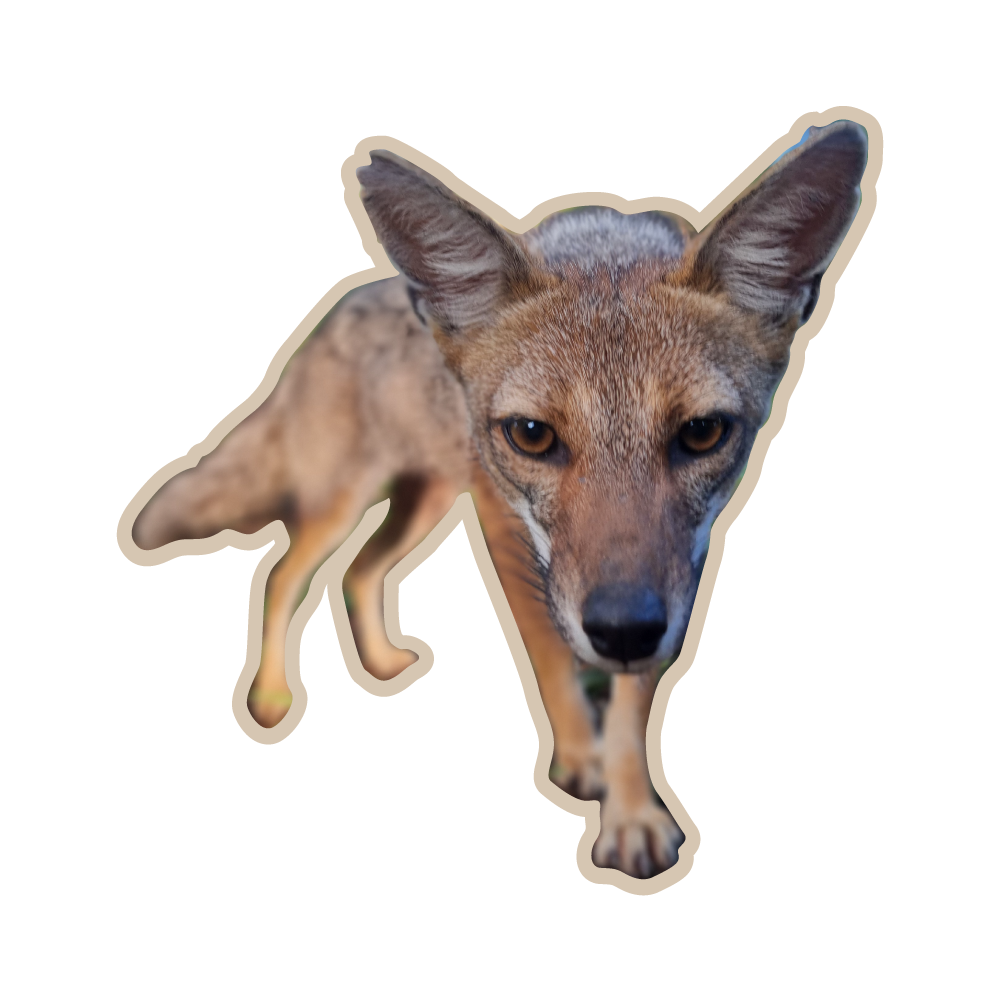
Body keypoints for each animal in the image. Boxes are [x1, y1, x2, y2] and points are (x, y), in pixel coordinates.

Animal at [127, 120, 870, 880]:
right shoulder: (507, 536)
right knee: (282, 573)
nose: (623, 631)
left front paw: (631, 813)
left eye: (701, 433)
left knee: (360, 572)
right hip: (350, 502)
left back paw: (383, 665)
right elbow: (549, 656)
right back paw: (273, 698)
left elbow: (632, 713)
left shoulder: (675, 576)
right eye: (533, 436)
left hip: (424, 505)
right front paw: (580, 760)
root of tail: (336, 310)